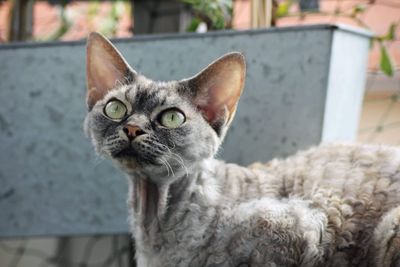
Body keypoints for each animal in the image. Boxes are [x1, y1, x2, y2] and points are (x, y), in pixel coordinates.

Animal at [83, 32, 400, 266]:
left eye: (172, 118)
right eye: (115, 108)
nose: (133, 128)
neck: (154, 224)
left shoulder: (300, 227)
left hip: (389, 229)